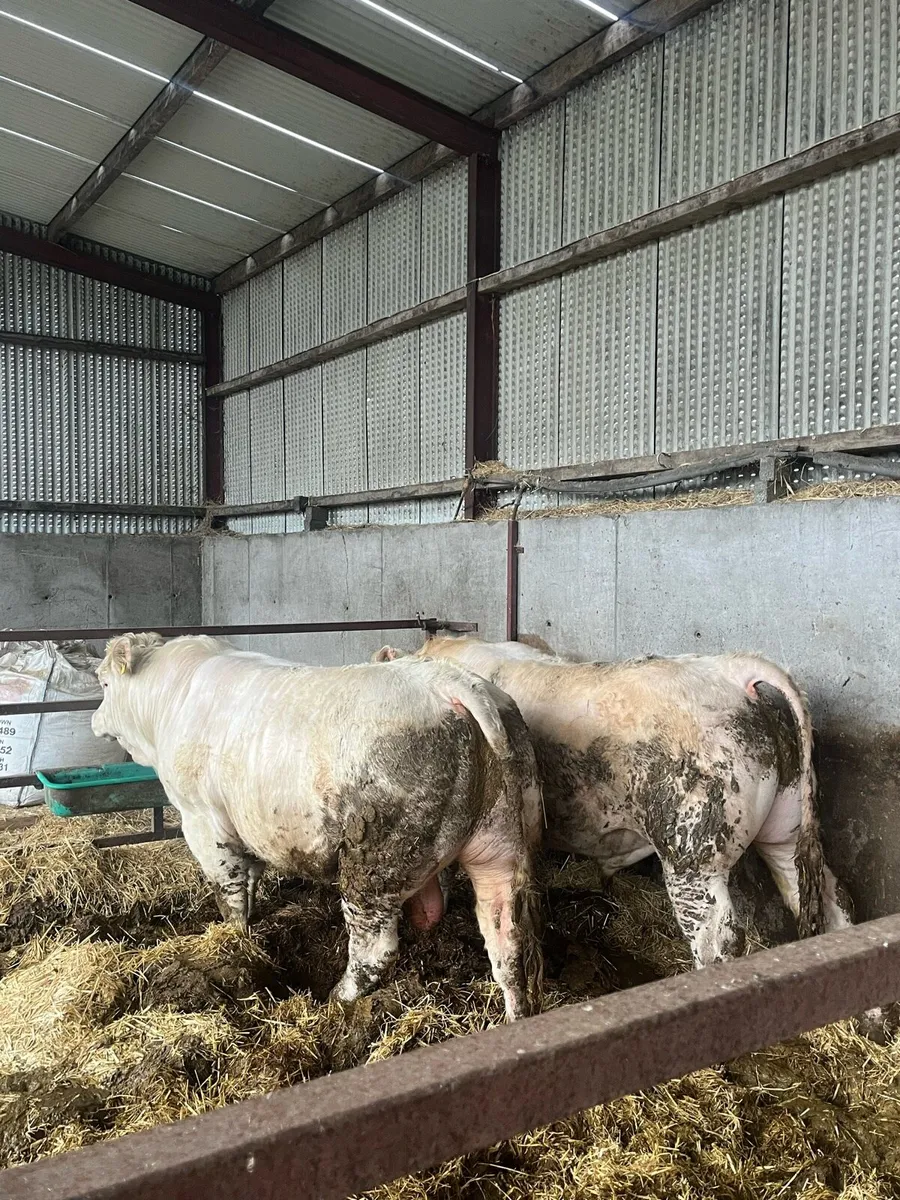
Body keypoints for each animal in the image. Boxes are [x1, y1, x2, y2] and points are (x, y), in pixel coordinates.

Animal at [91, 633, 543, 1021]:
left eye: (104, 682)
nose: (95, 720)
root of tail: (451, 681)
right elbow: (250, 877)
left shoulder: (203, 819)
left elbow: (229, 890)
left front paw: (233, 942)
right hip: (499, 844)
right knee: (506, 938)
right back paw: (513, 1015)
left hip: (374, 861)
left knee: (374, 947)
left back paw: (337, 999)